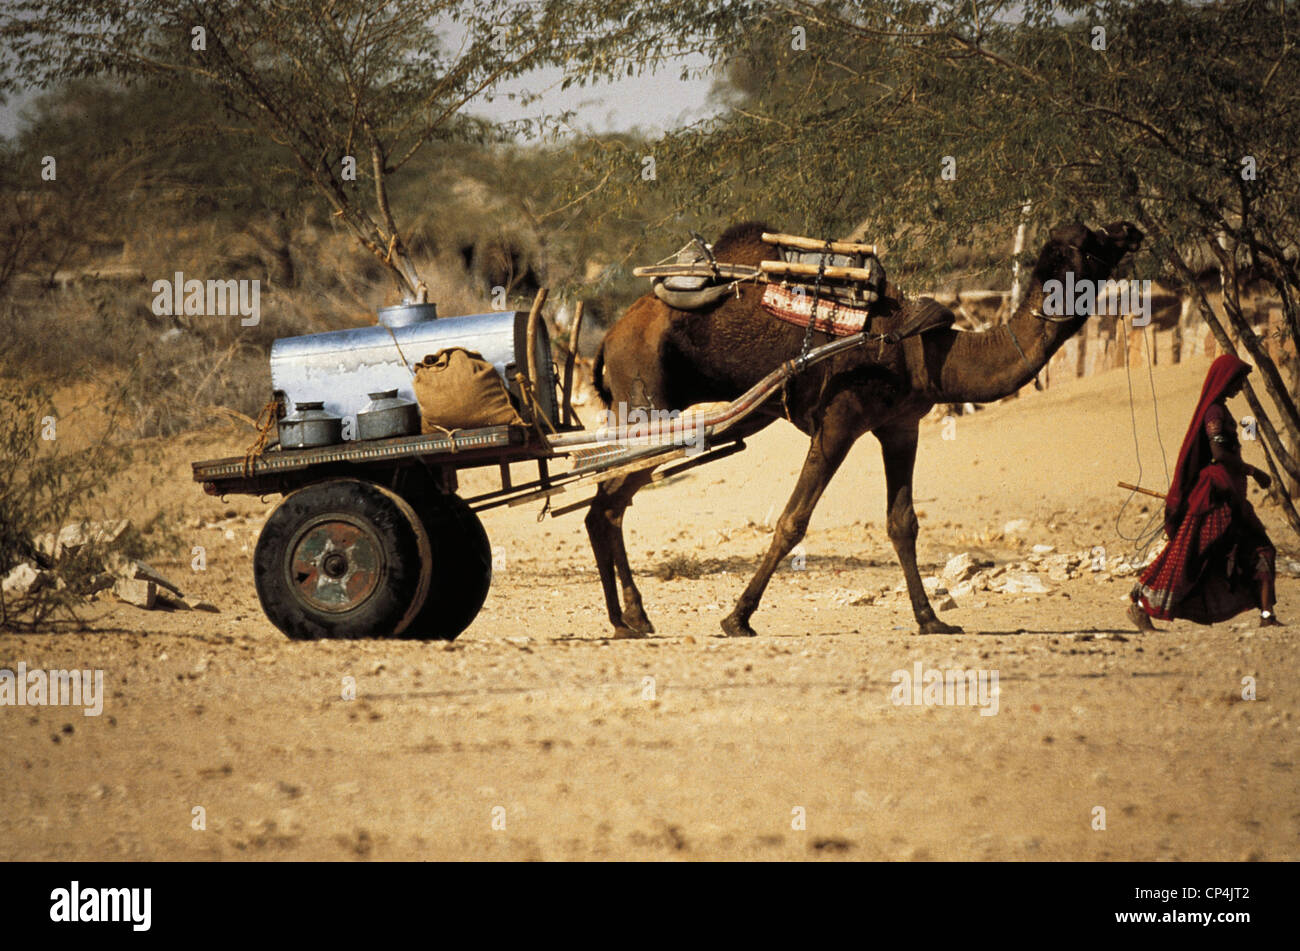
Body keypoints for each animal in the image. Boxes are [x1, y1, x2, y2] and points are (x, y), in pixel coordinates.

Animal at [586, 219, 1144, 638]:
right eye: (1090, 240)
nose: (1130, 228)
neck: (923, 351)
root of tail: (609, 337)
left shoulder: (900, 425)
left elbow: (903, 523)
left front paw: (931, 620)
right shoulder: (839, 418)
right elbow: (793, 520)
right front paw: (737, 618)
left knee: (605, 505)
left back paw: (628, 619)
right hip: (648, 410)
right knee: (607, 502)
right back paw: (627, 618)